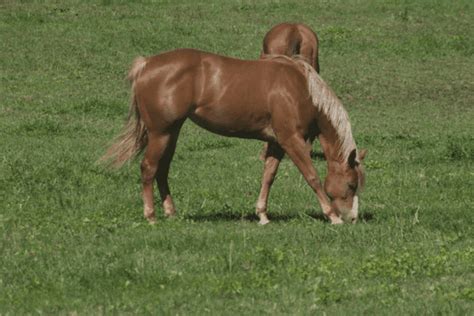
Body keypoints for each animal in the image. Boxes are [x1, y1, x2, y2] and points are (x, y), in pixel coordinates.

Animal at [101, 48, 366, 225]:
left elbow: (268, 177)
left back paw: (171, 213)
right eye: (351, 184)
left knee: (162, 170)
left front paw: (262, 215)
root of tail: (146, 64)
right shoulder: (291, 140)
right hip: (160, 133)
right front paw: (332, 216)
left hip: (170, 133)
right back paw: (151, 216)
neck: (301, 88)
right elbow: (312, 176)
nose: (352, 218)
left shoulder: (276, 143)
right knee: (148, 168)